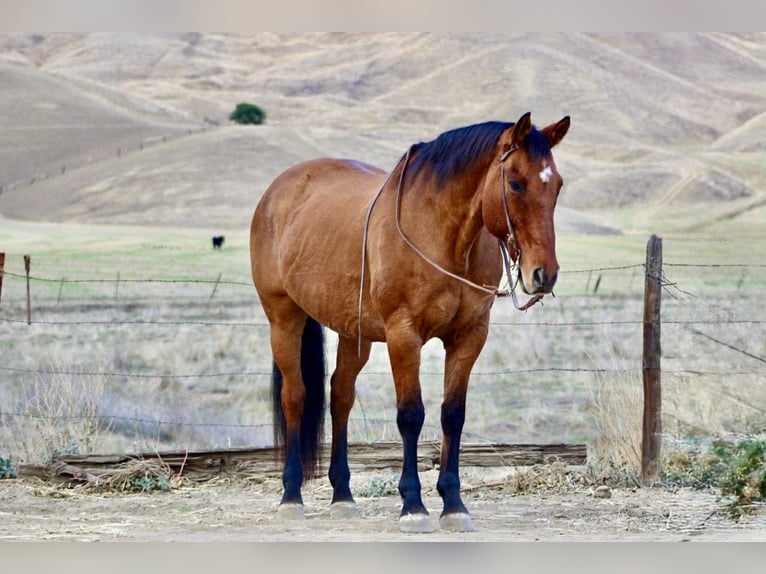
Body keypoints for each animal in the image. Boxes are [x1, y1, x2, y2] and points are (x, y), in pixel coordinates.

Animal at [250, 112, 570, 532]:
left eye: (557, 185)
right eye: (515, 183)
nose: (543, 274)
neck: (443, 235)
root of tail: (278, 191)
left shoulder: (469, 336)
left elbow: (453, 414)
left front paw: (453, 504)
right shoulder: (404, 336)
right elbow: (411, 415)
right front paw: (413, 505)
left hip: (354, 334)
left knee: (341, 397)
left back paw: (343, 495)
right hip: (284, 318)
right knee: (295, 397)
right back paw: (290, 495)